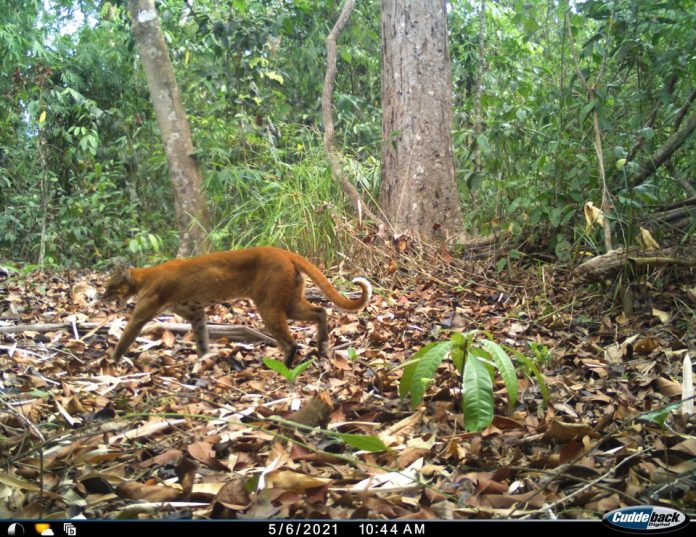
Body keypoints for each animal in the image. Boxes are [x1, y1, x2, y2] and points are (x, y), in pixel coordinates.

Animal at [102, 246, 370, 364]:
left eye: (110, 286)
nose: (101, 295)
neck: (143, 277)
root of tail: (282, 251)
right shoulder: (195, 312)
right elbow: (201, 335)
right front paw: (203, 358)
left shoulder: (142, 313)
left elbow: (126, 335)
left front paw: (111, 361)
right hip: (290, 303)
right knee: (320, 311)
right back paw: (322, 347)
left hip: (269, 307)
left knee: (291, 342)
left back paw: (283, 366)